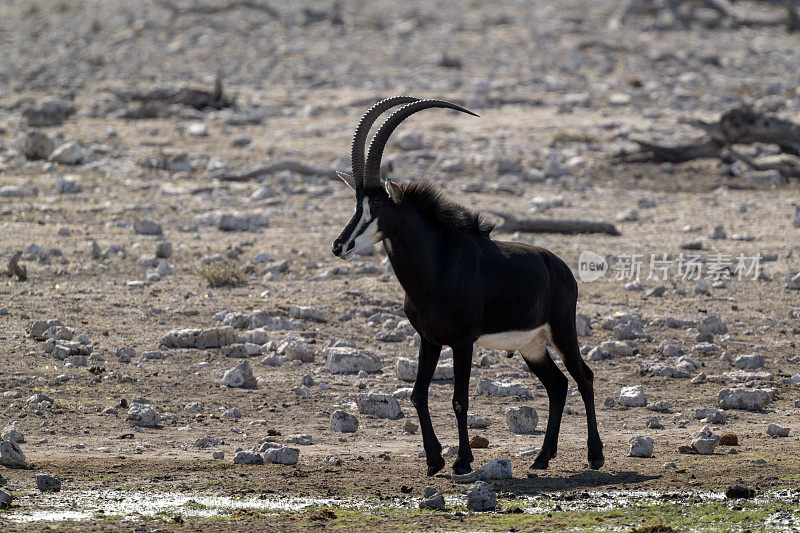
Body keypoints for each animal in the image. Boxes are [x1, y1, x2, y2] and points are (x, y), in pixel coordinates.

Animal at [330, 95, 600, 474]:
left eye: (378, 205)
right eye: (357, 204)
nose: (339, 246)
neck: (436, 268)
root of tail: (560, 268)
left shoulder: (462, 342)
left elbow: (460, 399)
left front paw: (461, 461)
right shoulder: (429, 339)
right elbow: (418, 394)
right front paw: (433, 460)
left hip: (561, 331)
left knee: (584, 377)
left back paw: (595, 456)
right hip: (531, 344)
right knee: (558, 385)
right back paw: (541, 458)